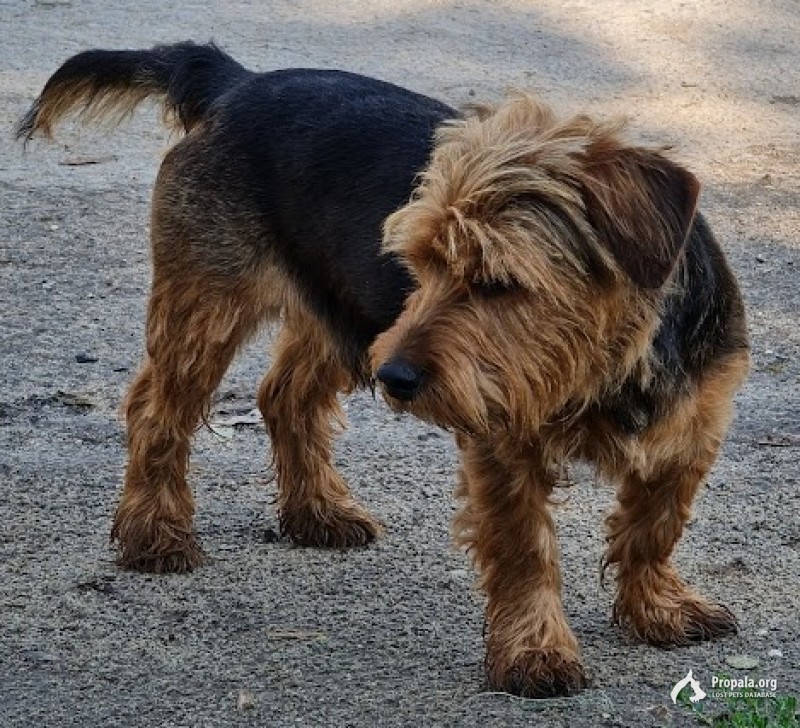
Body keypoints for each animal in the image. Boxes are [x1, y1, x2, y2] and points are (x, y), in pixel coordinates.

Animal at [20, 41, 752, 700]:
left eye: (499, 281)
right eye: (419, 264)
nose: (399, 379)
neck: (604, 371)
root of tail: (236, 81)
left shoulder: (692, 433)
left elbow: (655, 526)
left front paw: (656, 608)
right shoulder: (501, 445)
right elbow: (525, 551)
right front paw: (535, 651)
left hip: (344, 319)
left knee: (283, 396)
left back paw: (315, 511)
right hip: (217, 309)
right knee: (156, 411)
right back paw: (155, 533)